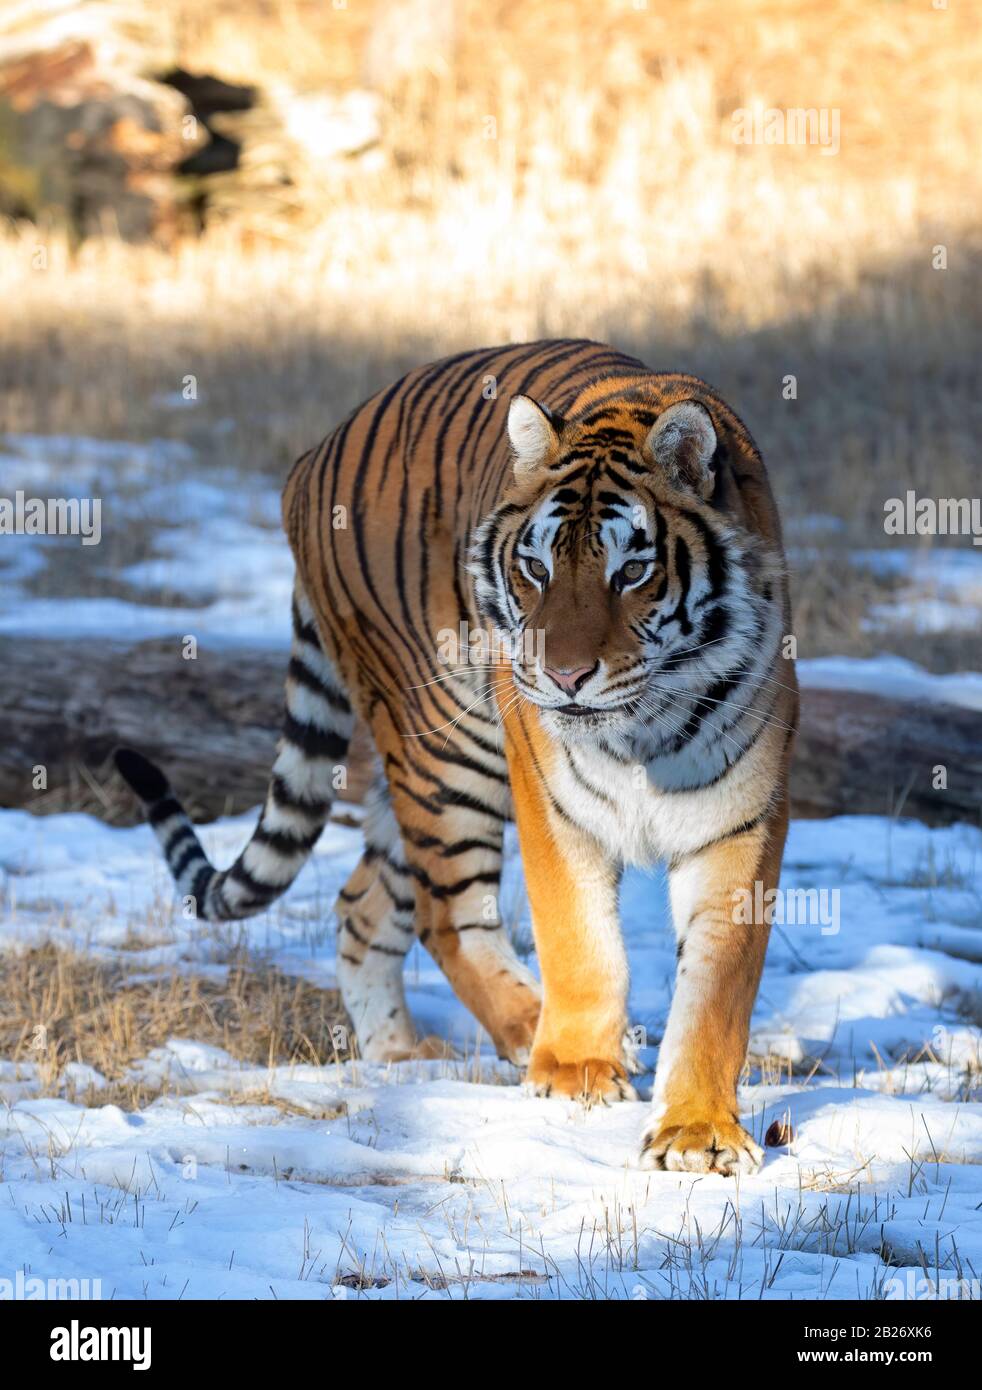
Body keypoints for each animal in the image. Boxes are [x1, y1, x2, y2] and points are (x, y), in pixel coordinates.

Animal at [118, 339, 801, 1173]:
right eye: (537, 569)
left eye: (632, 572)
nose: (563, 677)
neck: (643, 722)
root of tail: (312, 455)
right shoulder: (551, 801)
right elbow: (579, 941)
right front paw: (578, 1073)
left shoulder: (738, 820)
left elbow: (715, 990)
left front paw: (697, 1132)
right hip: (446, 751)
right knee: (446, 915)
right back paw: (541, 1040)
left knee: (362, 906)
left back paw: (402, 1056)